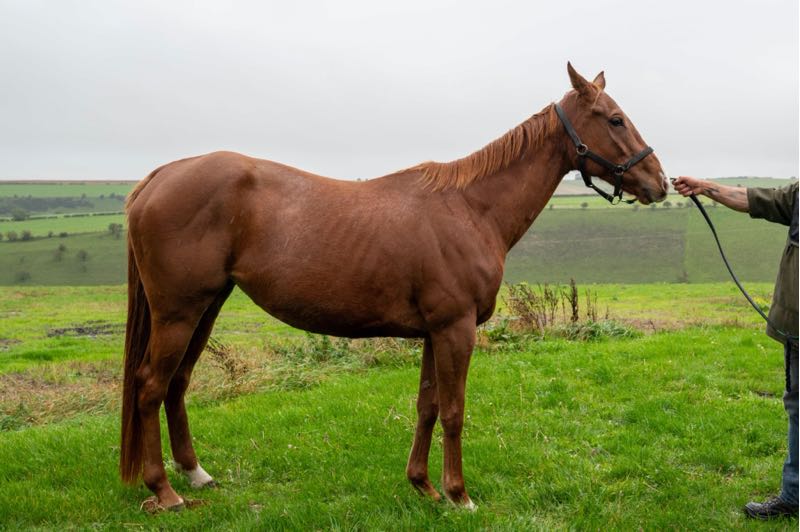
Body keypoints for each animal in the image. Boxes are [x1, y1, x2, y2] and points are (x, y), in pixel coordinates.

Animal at [120, 63, 668, 511]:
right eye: (615, 119)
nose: (659, 182)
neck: (471, 208)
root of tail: (160, 177)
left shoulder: (433, 333)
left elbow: (427, 406)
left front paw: (423, 486)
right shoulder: (455, 330)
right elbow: (453, 411)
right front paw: (459, 495)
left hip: (206, 307)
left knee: (177, 383)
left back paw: (195, 474)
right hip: (178, 313)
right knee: (149, 386)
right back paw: (163, 491)